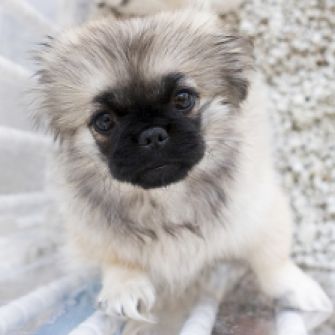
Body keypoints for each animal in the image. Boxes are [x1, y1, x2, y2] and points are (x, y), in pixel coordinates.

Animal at [34, 9, 334, 334]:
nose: (151, 134)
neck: (167, 198)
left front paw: (298, 289)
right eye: (103, 121)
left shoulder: (262, 211)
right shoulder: (87, 231)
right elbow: (116, 256)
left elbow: (272, 259)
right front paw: (125, 288)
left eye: (183, 99)